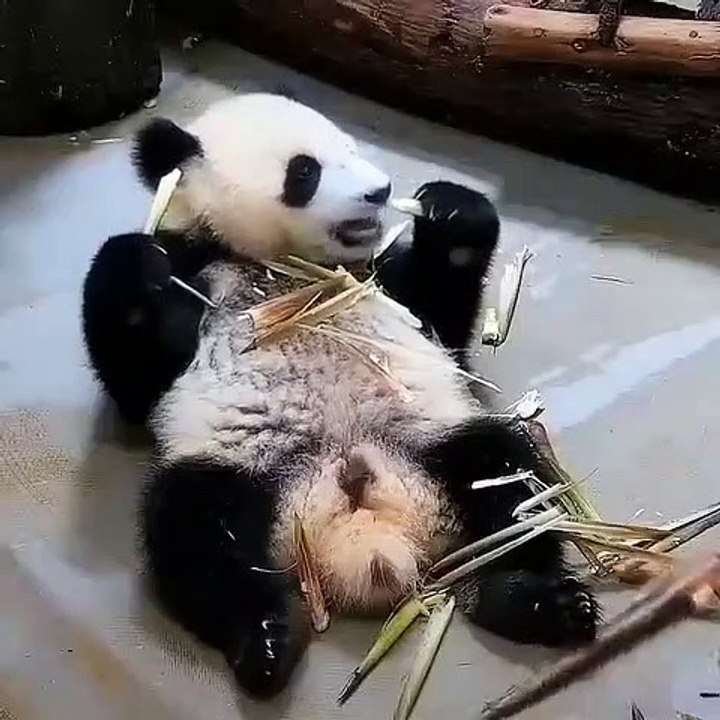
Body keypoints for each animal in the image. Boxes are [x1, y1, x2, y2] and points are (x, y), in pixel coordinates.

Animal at [81, 92, 600, 699]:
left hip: (432, 443)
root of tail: (370, 539)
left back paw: (535, 599)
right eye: (305, 171)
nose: (380, 191)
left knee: (508, 479)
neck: (282, 269)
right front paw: (136, 262)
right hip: (250, 477)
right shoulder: (198, 277)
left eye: (351, 147)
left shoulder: (380, 285)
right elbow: (135, 384)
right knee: (194, 531)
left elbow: (440, 320)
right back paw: (265, 640)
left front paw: (449, 210)